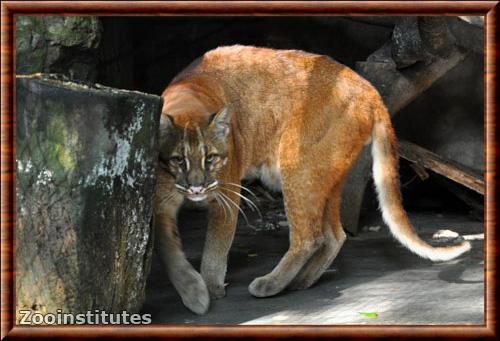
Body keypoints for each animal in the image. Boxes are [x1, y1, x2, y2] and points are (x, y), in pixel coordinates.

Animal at [154, 45, 470, 314]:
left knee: (308, 236)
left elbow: (214, 247)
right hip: (325, 175)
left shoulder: (227, 193)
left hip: (297, 165)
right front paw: (193, 291)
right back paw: (301, 281)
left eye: (211, 158)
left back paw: (271, 284)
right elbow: (168, 249)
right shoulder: (160, 203)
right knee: (334, 233)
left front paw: (208, 287)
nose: (197, 186)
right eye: (178, 159)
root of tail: (368, 89)